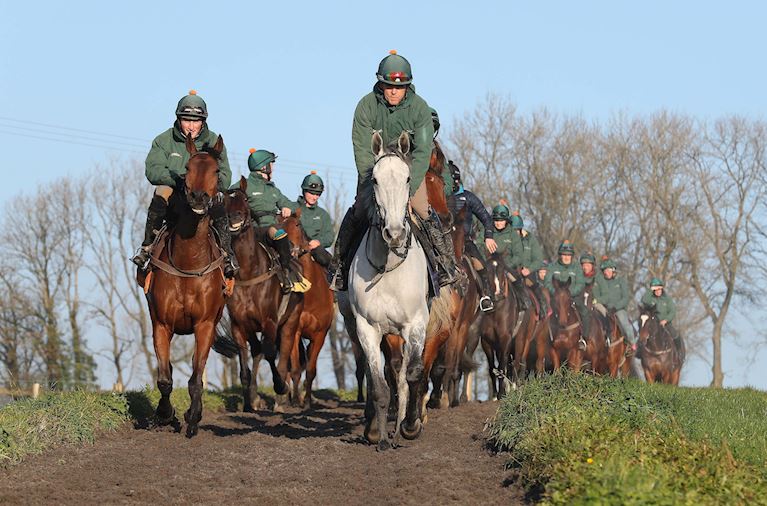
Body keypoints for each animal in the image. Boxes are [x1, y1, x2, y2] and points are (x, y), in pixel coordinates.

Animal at [139, 134, 228, 438]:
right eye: (187, 167)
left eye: (216, 169)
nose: (198, 197)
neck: (188, 264)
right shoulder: (162, 324)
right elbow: (165, 379)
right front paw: (164, 414)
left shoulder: (205, 325)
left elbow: (196, 379)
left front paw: (193, 417)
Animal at [216, 178, 304, 412]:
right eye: (225, 201)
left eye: (245, 199)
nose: (235, 217)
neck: (249, 272)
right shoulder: (239, 325)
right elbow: (244, 364)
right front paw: (249, 400)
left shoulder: (270, 321)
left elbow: (271, 353)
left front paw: (280, 387)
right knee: (256, 352)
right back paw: (255, 398)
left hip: (290, 323)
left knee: (282, 352)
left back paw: (281, 398)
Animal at [280, 211, 332, 410]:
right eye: (279, 225)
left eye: (297, 225)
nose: (288, 248)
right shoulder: (295, 331)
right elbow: (295, 369)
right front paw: (295, 400)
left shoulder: (320, 335)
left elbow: (310, 370)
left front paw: (308, 401)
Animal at [350, 130, 432, 450]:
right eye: (374, 179)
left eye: (408, 178)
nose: (394, 233)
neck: (389, 266)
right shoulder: (366, 328)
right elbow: (379, 384)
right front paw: (380, 437)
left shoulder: (416, 324)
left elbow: (413, 374)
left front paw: (409, 426)